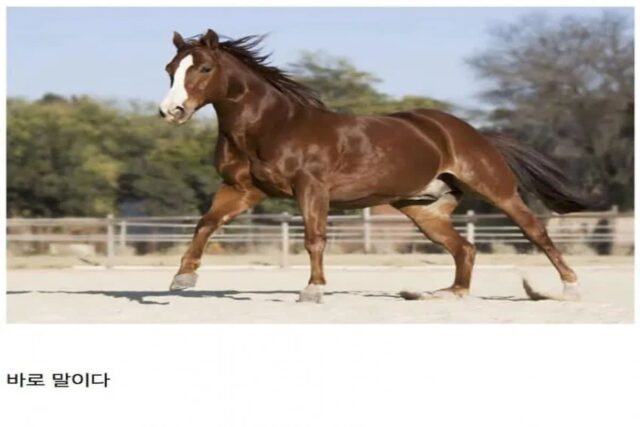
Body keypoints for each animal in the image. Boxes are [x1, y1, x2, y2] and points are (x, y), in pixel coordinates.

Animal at [159, 29, 595, 303]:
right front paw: (182, 278)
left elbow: (314, 238)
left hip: (497, 190)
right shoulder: (243, 190)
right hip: (423, 210)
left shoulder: (311, 188)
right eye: (170, 70)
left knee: (536, 232)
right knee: (465, 249)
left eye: (204, 68)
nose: (171, 111)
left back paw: (570, 289)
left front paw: (313, 290)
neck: (272, 125)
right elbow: (206, 224)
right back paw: (443, 294)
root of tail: (474, 134)